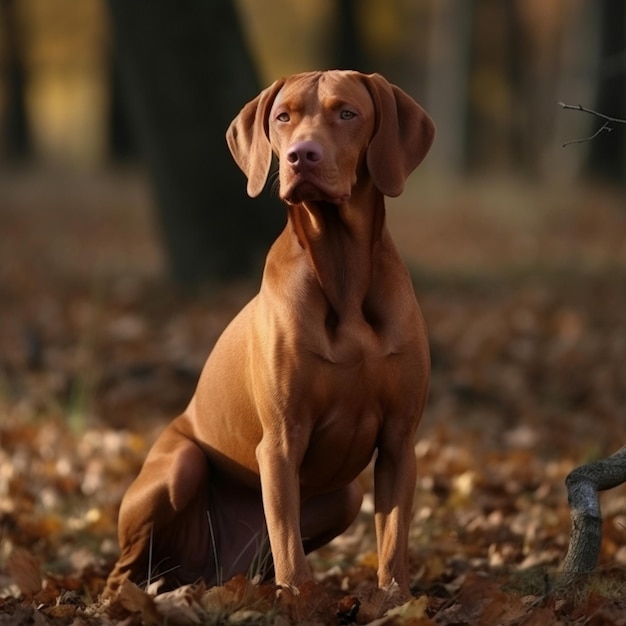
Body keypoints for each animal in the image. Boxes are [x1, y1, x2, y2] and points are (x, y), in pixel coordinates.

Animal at [103, 69, 434, 600]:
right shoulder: (280, 440)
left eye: (347, 113)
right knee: (126, 569)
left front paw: (396, 602)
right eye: (283, 117)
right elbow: (290, 552)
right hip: (178, 467)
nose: (302, 155)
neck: (342, 269)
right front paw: (301, 603)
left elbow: (393, 542)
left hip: (343, 495)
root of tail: (205, 571)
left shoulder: (400, 440)